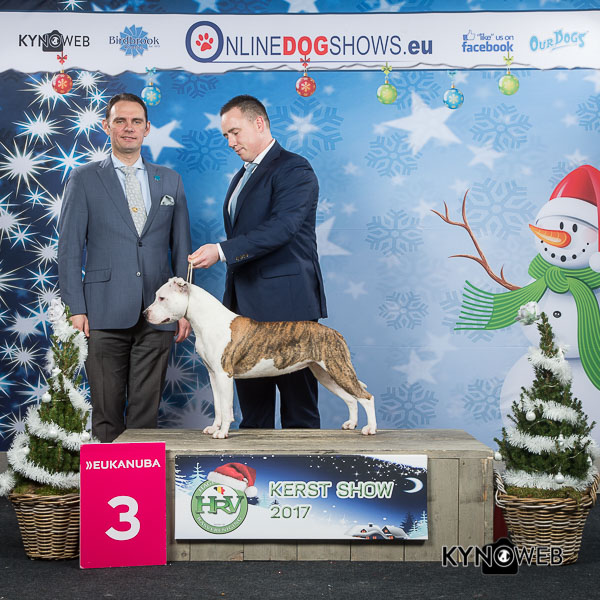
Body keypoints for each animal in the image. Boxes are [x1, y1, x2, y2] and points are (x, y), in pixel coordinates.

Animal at [144, 277, 377, 439]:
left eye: (162, 298)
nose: (145, 313)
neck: (206, 320)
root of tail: (335, 333)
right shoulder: (213, 375)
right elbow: (218, 406)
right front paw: (214, 428)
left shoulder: (224, 375)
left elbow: (226, 406)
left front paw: (222, 432)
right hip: (325, 373)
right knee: (351, 398)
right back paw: (351, 424)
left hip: (338, 368)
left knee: (366, 397)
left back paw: (370, 429)